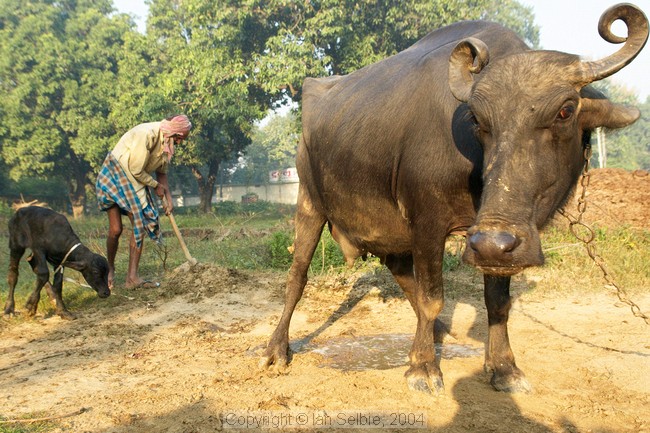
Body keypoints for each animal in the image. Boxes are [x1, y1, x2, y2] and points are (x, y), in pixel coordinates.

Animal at [259, 3, 648, 394]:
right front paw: (423, 367)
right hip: (309, 201)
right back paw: (277, 349)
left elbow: (497, 302)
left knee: (399, 269)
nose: (492, 241)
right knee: (298, 275)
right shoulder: (427, 222)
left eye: (566, 110)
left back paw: (437, 332)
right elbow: (433, 297)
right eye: (477, 119)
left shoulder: (491, 244)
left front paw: (504, 367)